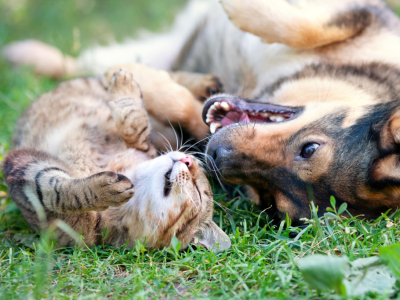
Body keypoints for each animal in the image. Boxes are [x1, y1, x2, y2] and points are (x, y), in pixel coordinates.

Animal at [1, 65, 230, 251]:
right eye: (197, 164)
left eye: (198, 191)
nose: (188, 160)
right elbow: (135, 124)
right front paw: (124, 86)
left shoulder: (24, 170)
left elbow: (58, 193)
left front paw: (102, 190)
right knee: (167, 79)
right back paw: (205, 83)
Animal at [3, 0, 400, 223]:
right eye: (310, 148)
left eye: (270, 201)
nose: (215, 156)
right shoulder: (362, 15)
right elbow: (305, 26)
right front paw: (240, 7)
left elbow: (187, 109)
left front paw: (147, 82)